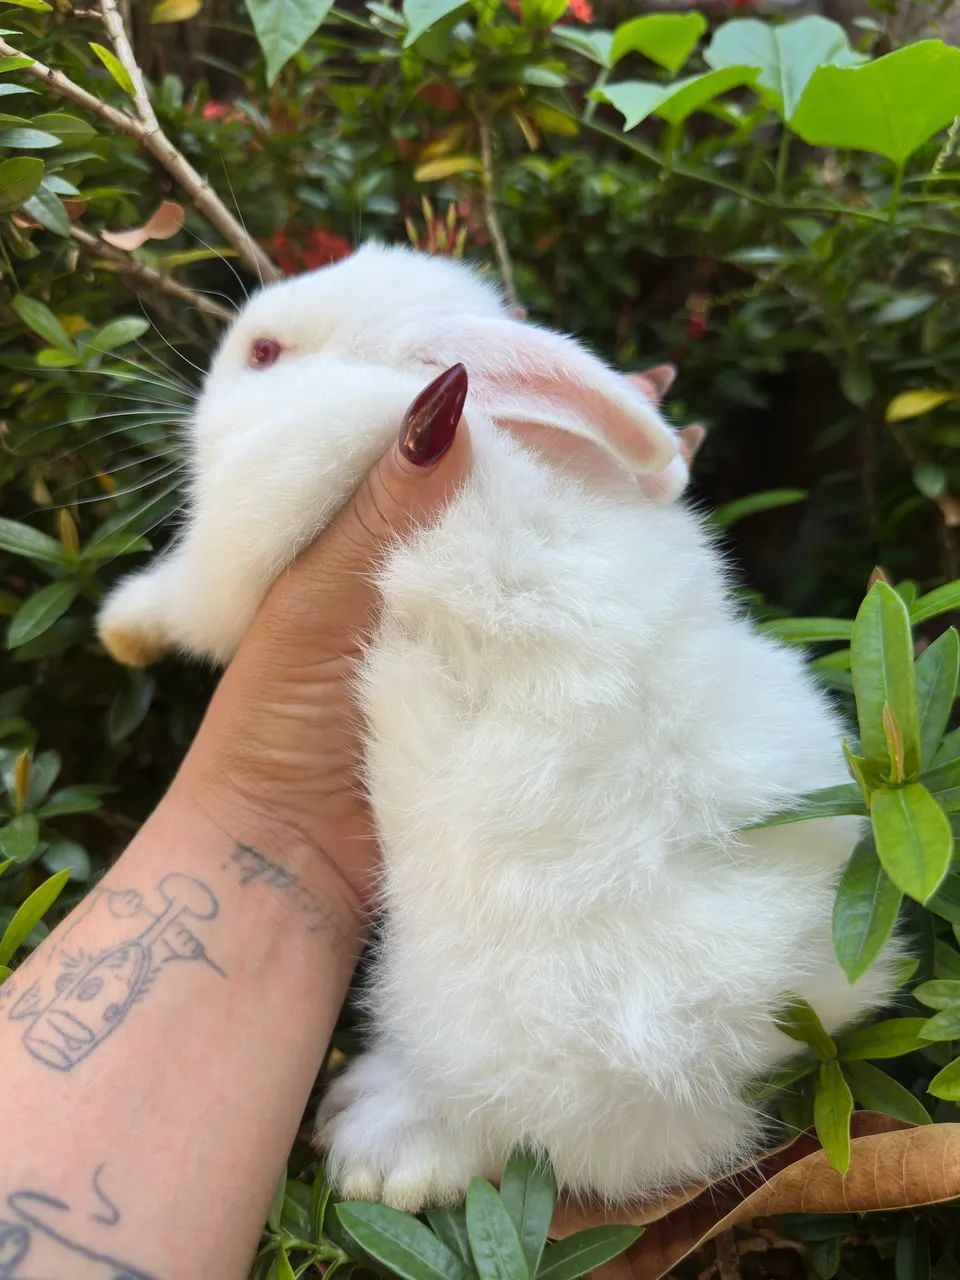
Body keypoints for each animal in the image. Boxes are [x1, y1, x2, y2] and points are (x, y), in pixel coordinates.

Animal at [98, 243, 893, 1212]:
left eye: (264, 354)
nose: (209, 381)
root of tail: (760, 1031)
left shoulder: (261, 516)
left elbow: (192, 598)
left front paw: (123, 625)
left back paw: (379, 1153)